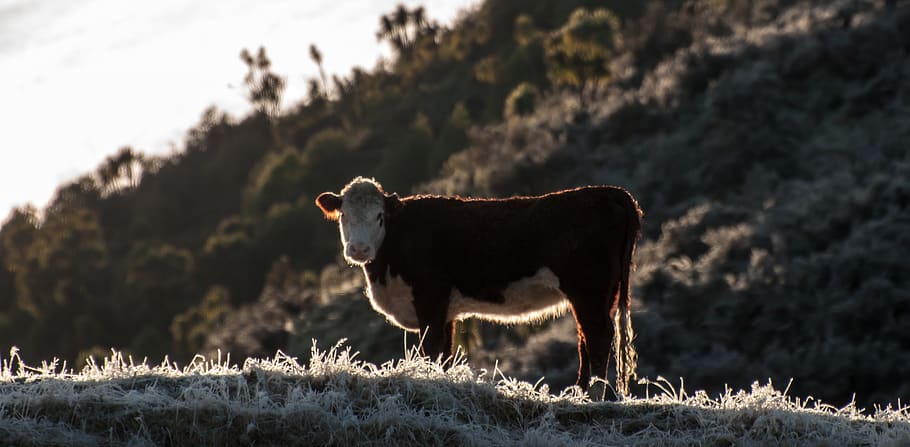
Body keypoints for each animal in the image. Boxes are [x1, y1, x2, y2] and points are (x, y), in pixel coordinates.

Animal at [315, 177, 642, 396]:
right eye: (344, 215)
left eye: (379, 216)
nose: (359, 249)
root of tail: (609, 192)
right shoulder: (445, 311)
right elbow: (445, 354)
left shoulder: (430, 299)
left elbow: (431, 349)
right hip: (601, 294)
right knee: (587, 338)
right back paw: (579, 394)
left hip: (588, 290)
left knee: (598, 337)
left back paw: (592, 395)